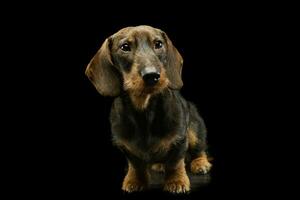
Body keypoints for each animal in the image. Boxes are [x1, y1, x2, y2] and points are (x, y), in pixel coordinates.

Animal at [85, 25, 211, 194]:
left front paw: (176, 181)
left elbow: (175, 163)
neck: (144, 110)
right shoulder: (126, 146)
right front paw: (135, 180)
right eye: (125, 47)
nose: (152, 75)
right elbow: (135, 165)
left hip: (195, 129)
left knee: (199, 149)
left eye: (158, 44)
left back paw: (200, 163)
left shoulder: (180, 139)